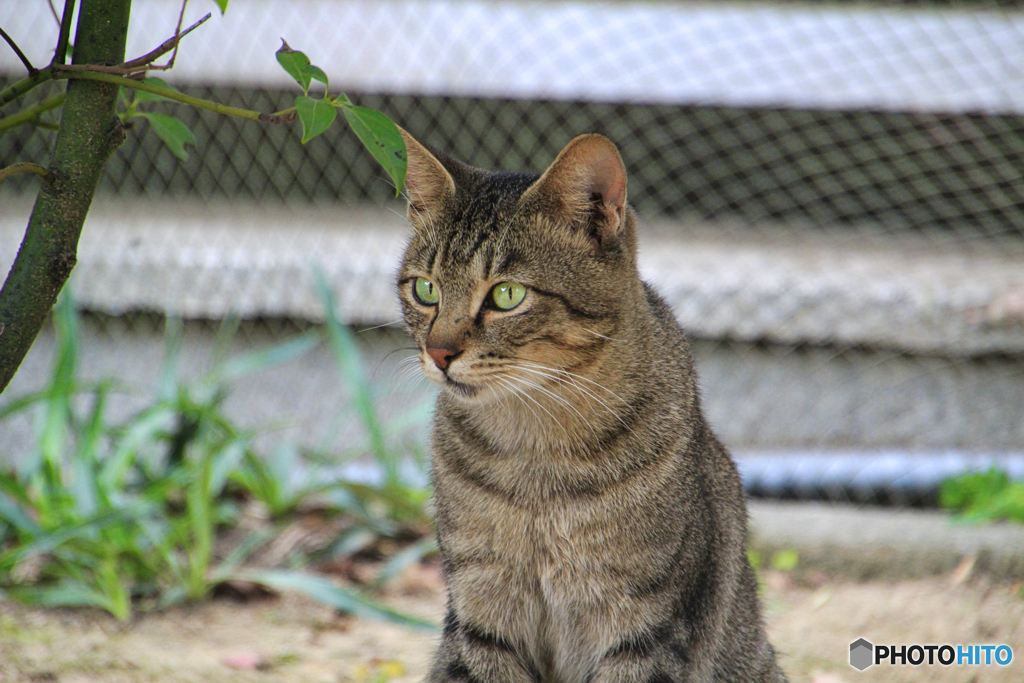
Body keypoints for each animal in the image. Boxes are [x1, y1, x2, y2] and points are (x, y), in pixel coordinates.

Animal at [393, 129, 782, 683]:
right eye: (426, 289)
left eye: (506, 295)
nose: (439, 353)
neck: (535, 457)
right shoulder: (481, 610)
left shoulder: (646, 627)